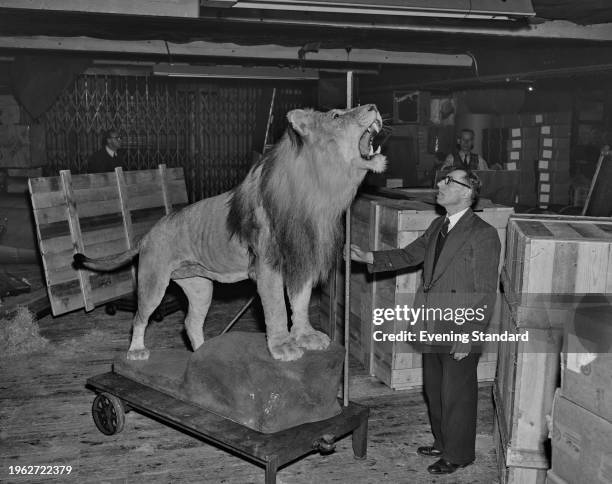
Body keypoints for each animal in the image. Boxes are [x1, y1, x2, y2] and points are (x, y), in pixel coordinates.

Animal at [74, 104, 384, 362]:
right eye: (336, 115)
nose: (373, 106)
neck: (320, 191)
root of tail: (147, 235)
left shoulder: (302, 259)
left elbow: (301, 302)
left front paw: (306, 336)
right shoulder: (268, 266)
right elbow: (277, 309)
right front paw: (283, 346)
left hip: (200, 286)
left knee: (190, 323)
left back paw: (204, 354)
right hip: (153, 281)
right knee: (139, 318)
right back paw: (136, 351)